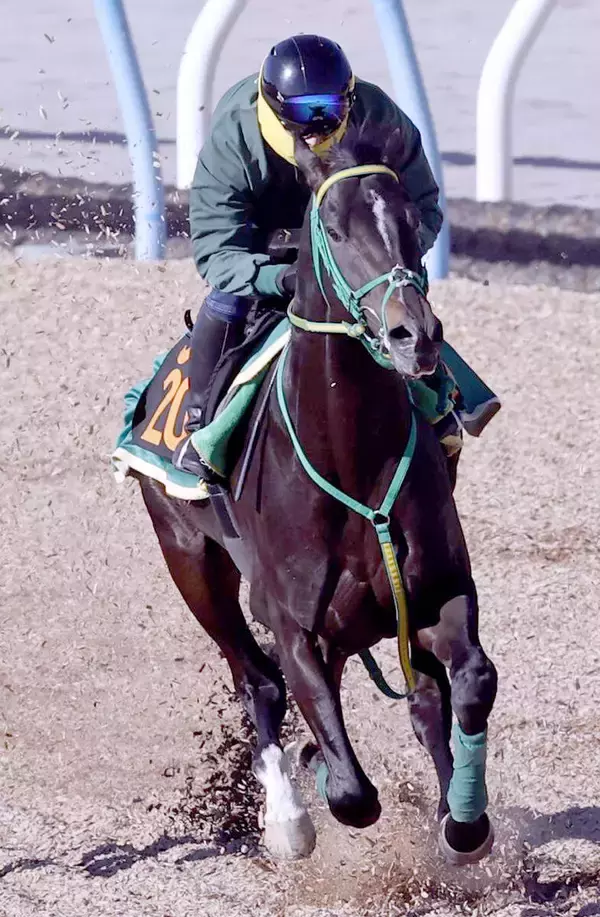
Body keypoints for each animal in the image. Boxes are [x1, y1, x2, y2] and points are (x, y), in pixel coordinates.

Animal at [133, 127, 498, 864]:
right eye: (331, 225)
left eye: (411, 218)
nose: (413, 334)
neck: (352, 460)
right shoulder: (291, 620)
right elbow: (353, 792)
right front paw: (316, 785)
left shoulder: (437, 591)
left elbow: (471, 682)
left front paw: (462, 824)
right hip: (191, 561)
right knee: (258, 680)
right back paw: (288, 815)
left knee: (421, 698)